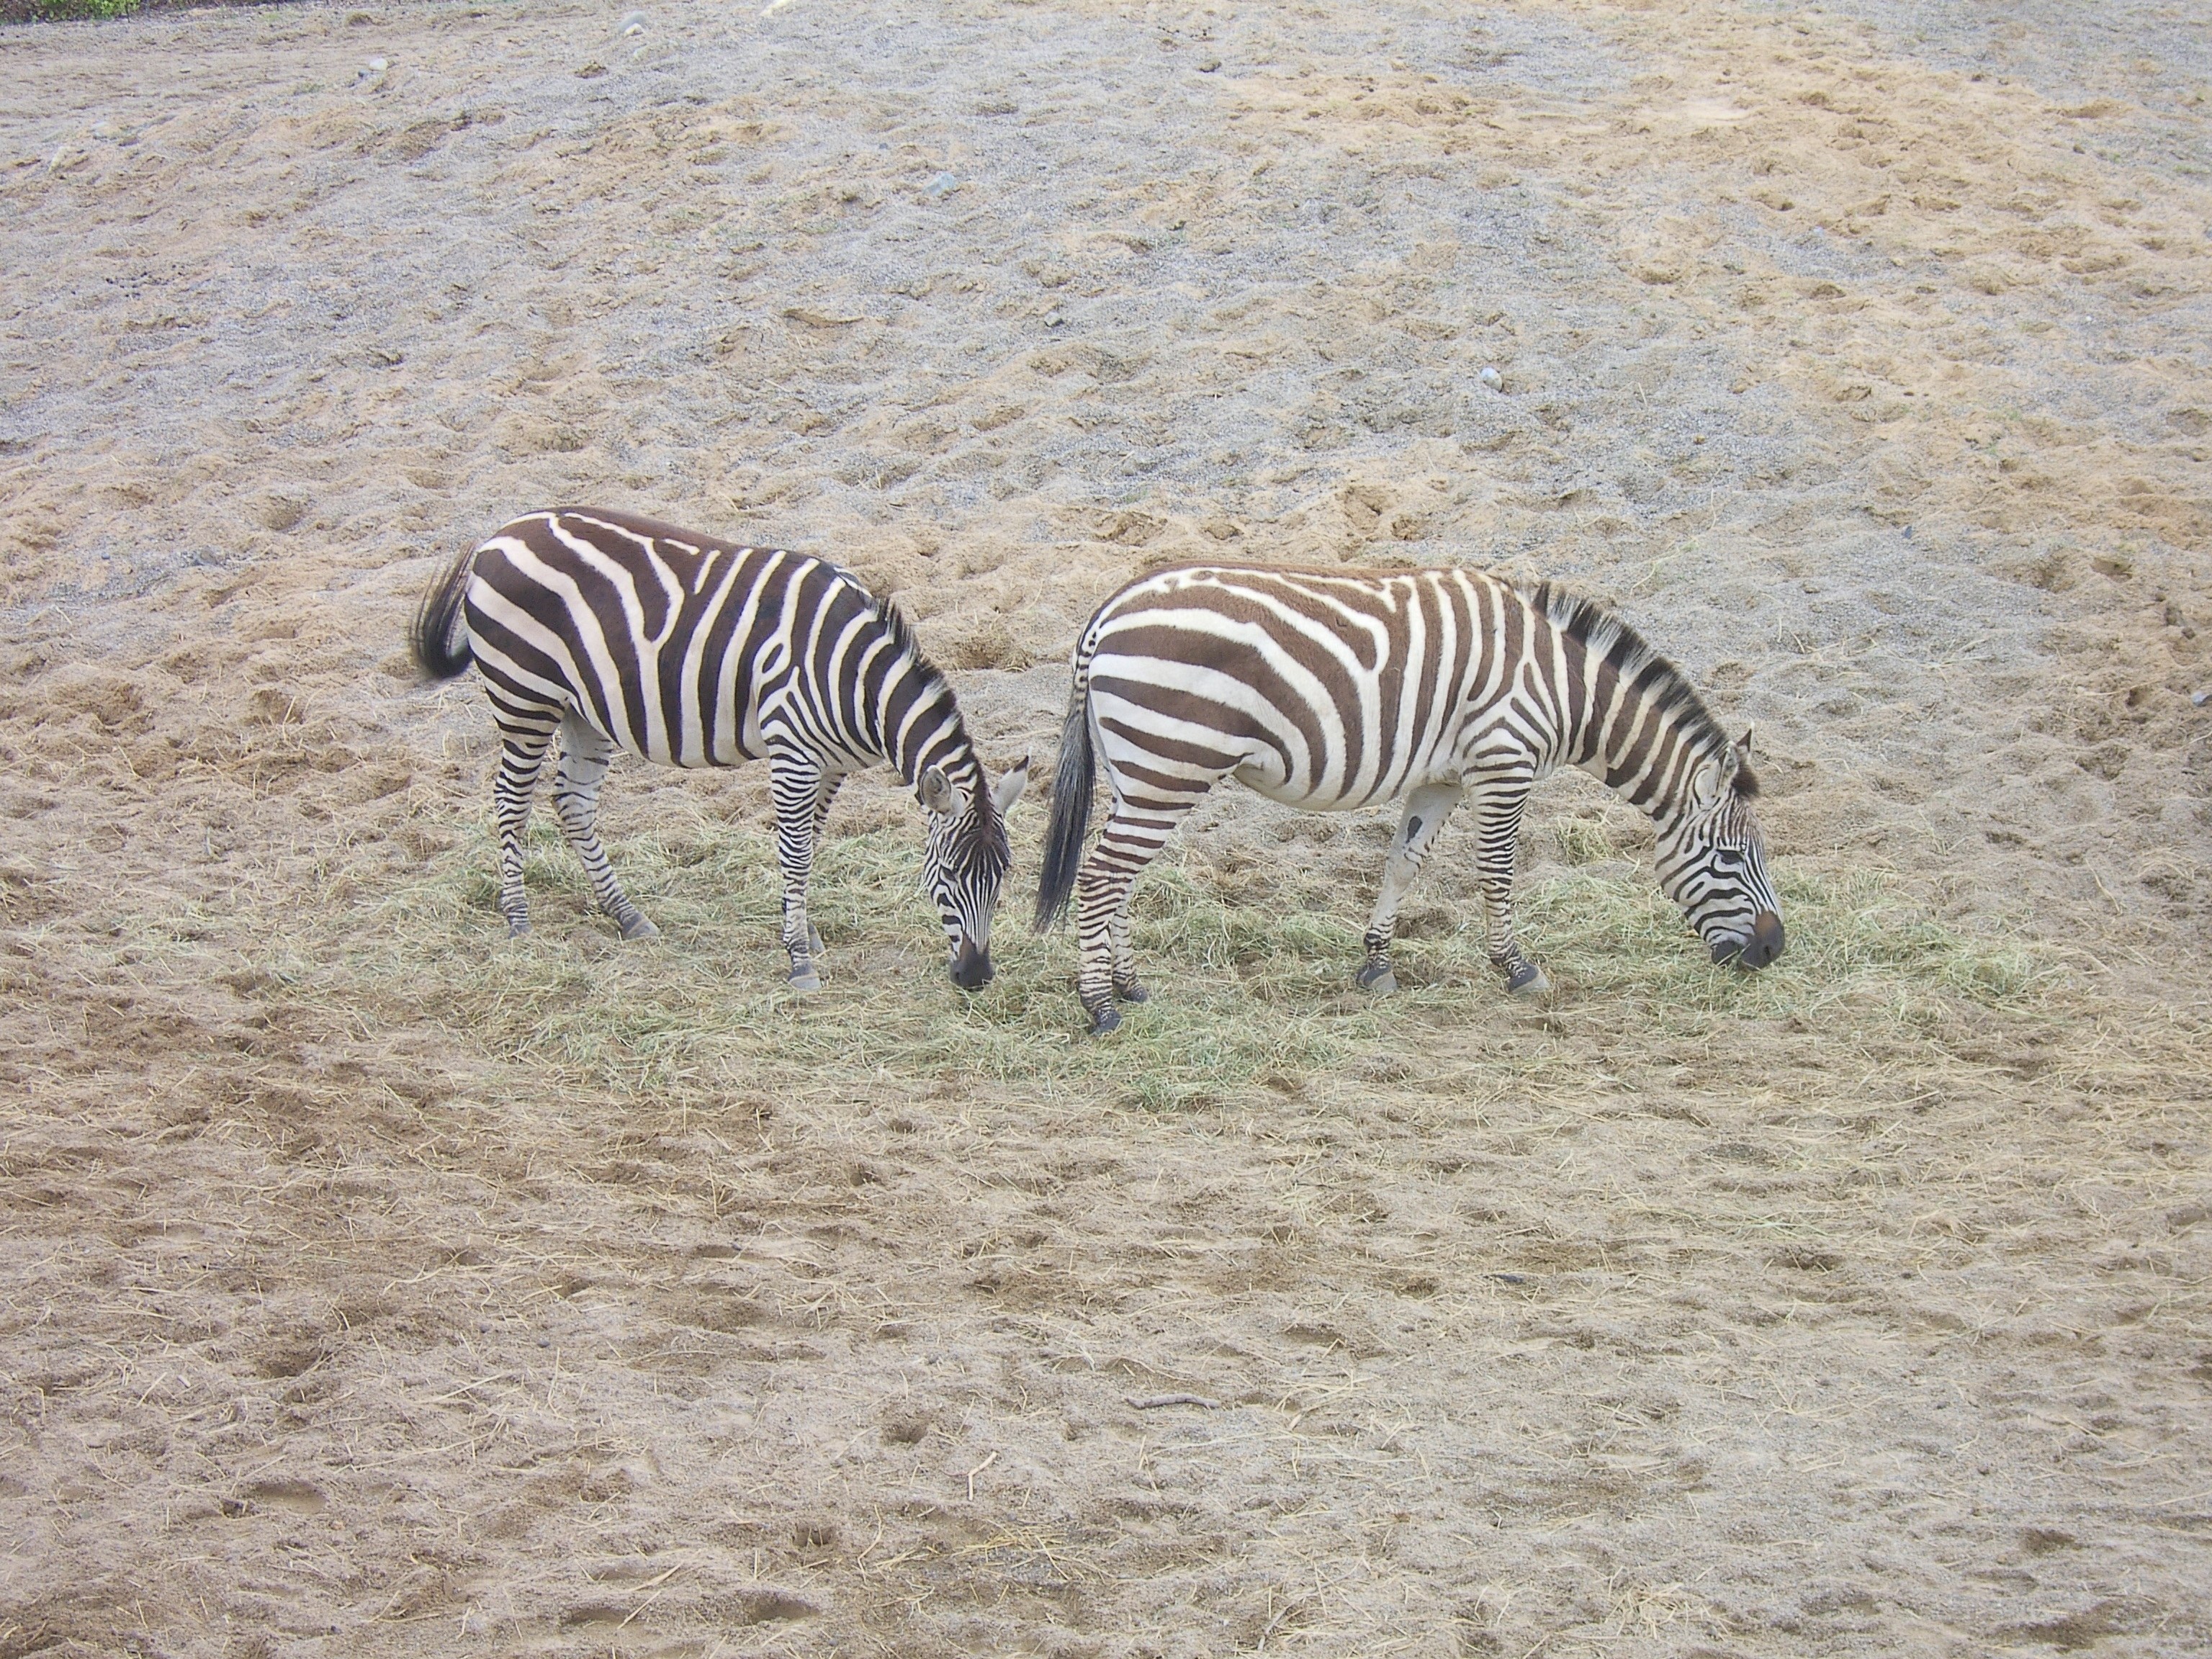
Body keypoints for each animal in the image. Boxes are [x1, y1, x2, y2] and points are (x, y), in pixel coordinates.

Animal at [410, 507, 1029, 991]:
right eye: (947, 873)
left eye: (1002, 877)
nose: (976, 978)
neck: (855, 679)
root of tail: (500, 534)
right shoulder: (793, 753)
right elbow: (795, 852)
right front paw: (798, 960)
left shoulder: (831, 765)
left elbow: (812, 845)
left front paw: (803, 930)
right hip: (525, 696)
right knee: (512, 802)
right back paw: (518, 918)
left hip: (581, 708)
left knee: (573, 803)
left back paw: (628, 916)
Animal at [1035, 562, 1782, 1032]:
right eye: (1728, 859)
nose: (1775, 952)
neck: (1565, 691)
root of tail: (1108, 612)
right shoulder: (1503, 762)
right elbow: (1498, 873)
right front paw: (1517, 969)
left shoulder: (1440, 777)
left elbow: (1402, 864)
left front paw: (1376, 965)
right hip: (1171, 763)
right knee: (1102, 876)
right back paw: (1100, 1007)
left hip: (1143, 772)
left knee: (1118, 877)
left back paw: (1129, 985)